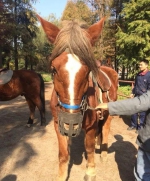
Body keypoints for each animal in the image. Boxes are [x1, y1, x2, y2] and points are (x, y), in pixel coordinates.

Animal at [37, 14, 118, 180]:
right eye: (53, 69)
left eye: (88, 72)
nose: (71, 120)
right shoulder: (58, 123)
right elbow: (63, 154)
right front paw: (61, 176)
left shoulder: (91, 126)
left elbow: (89, 148)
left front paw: (91, 171)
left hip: (108, 114)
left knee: (105, 130)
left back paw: (103, 153)